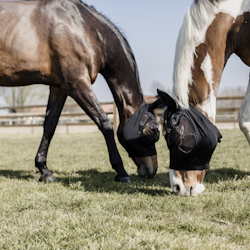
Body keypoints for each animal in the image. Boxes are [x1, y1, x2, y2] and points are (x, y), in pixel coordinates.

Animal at [0, 0, 159, 184]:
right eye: (153, 131)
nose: (152, 170)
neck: (83, 27)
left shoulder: (58, 88)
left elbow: (49, 126)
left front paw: (44, 170)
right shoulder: (77, 84)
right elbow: (105, 124)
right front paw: (121, 171)